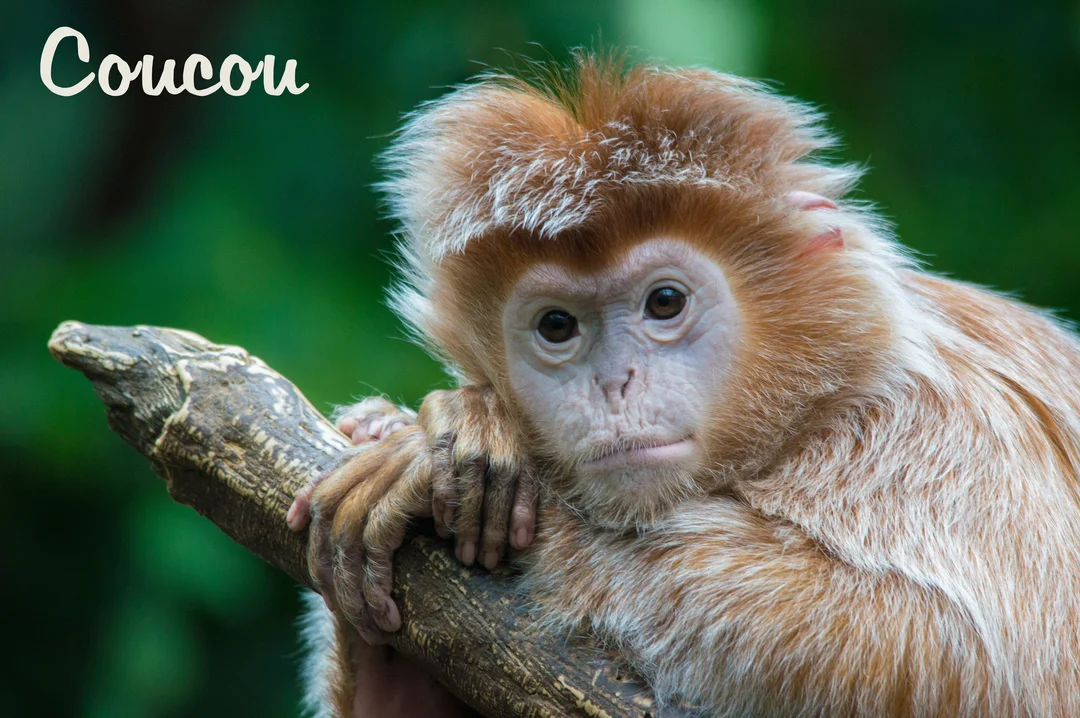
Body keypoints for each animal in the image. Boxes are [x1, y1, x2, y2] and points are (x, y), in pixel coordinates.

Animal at [286, 52, 1080, 717]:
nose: (615, 383)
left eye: (664, 303)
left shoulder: (941, 432)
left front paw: (444, 461)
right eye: (556, 326)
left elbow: (957, 654)